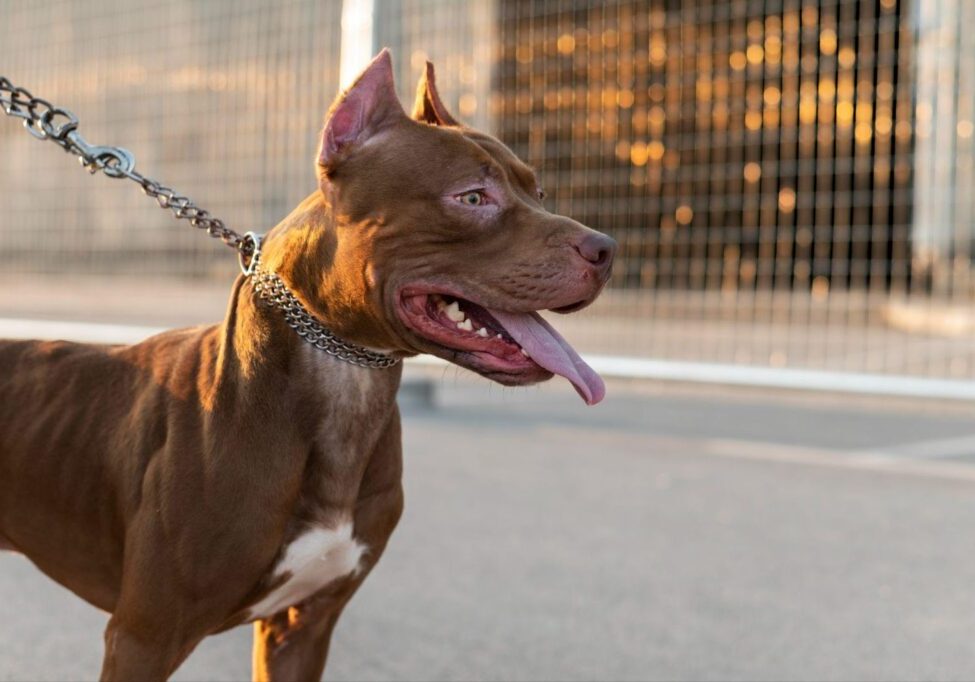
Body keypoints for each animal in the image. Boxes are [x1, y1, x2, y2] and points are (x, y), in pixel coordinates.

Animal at [0, 50, 616, 676]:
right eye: (471, 198)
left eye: (538, 192)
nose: (607, 249)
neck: (349, 378)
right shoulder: (144, 638)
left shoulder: (302, 627)